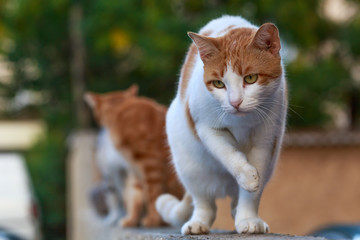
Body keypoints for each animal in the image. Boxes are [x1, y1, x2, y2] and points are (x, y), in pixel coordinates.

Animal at [84, 85, 183, 228]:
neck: (121, 113)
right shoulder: (135, 170)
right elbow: (137, 197)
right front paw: (132, 220)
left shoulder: (150, 164)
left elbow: (153, 194)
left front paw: (153, 220)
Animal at [156, 15, 288, 234]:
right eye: (219, 83)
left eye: (250, 78)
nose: (235, 102)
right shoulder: (206, 128)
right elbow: (229, 154)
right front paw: (247, 176)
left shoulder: (266, 139)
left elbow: (252, 192)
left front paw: (248, 218)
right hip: (191, 170)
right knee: (205, 203)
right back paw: (197, 223)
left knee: (234, 200)